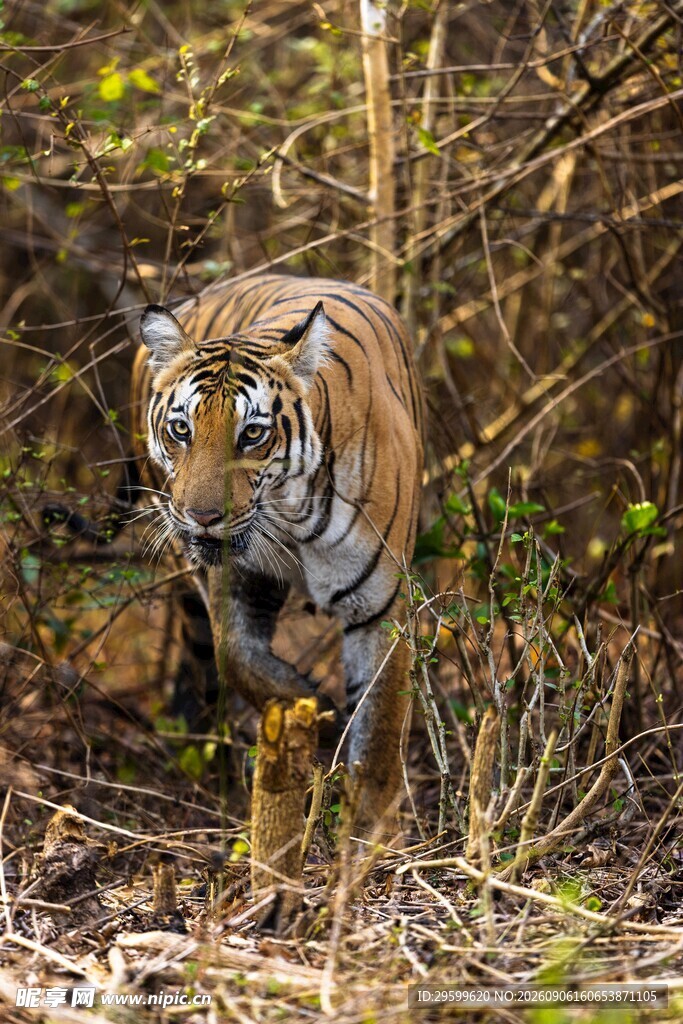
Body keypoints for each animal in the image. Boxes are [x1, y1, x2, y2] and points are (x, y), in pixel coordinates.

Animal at [131, 274, 424, 835]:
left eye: (252, 434)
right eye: (181, 430)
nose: (202, 516)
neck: (291, 513)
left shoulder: (380, 607)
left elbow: (379, 727)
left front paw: (370, 829)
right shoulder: (238, 583)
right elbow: (240, 660)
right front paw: (321, 714)